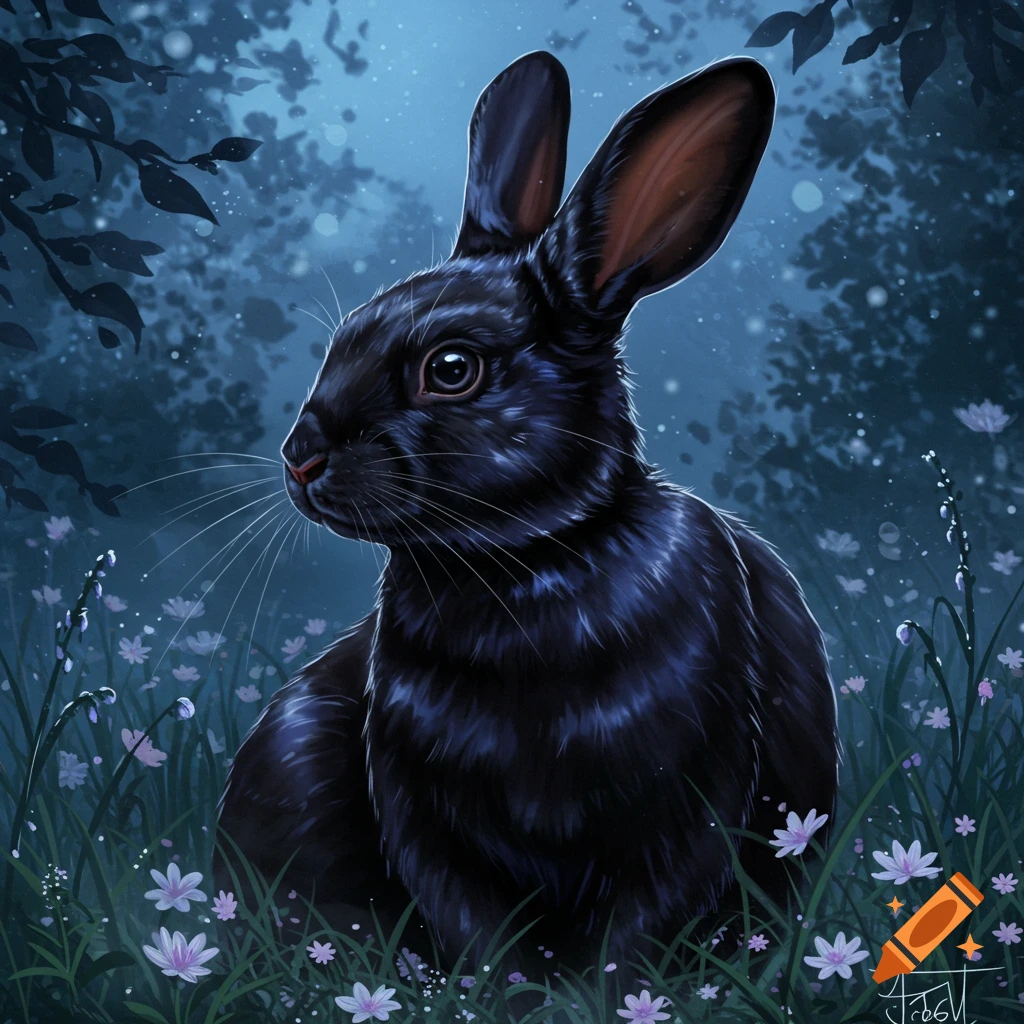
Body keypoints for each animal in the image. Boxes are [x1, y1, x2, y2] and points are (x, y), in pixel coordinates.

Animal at [216, 49, 840, 981]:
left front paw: (596, 996)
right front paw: (516, 996)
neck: (526, 560)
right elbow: (481, 932)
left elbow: (633, 938)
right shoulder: (423, 816)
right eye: (347, 333)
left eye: (451, 369)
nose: (299, 456)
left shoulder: (693, 802)